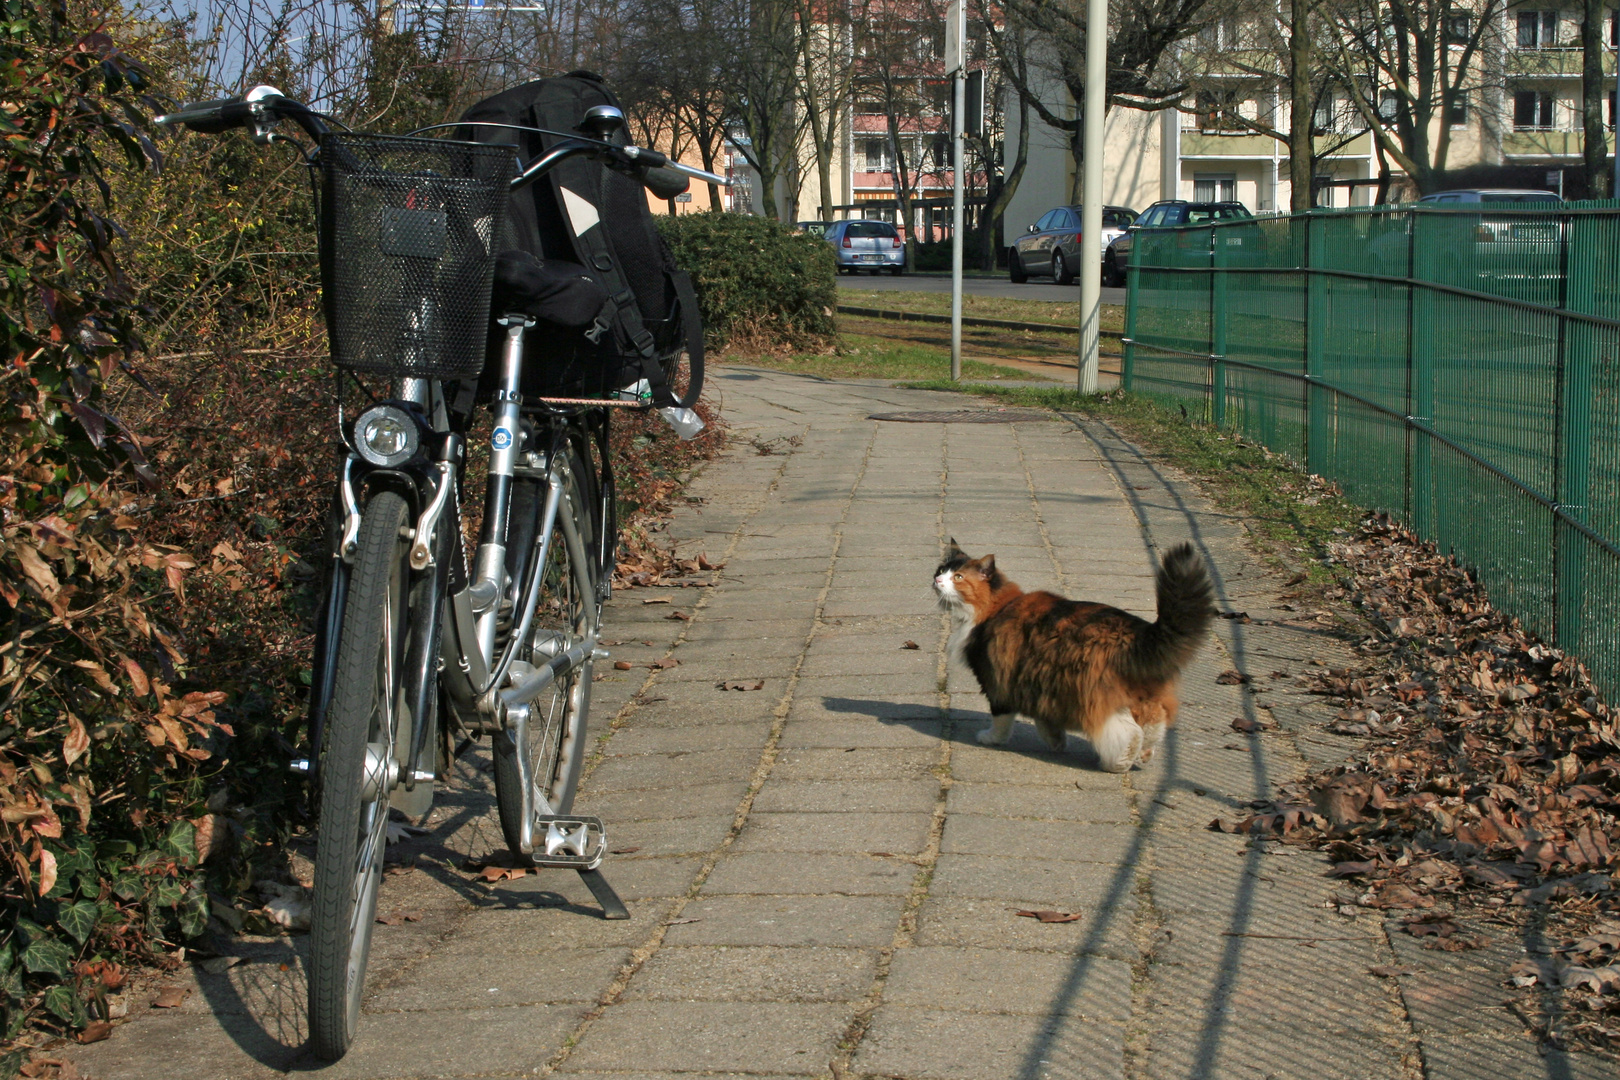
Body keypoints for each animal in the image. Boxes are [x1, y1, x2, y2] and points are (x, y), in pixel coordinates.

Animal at [939, 544, 1218, 773]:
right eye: (942, 569)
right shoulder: (1039, 681)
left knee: (1127, 732)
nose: (937, 580)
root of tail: (1137, 631)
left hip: (1093, 693)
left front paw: (991, 738)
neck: (994, 607)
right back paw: (1144, 753)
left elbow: (1001, 719)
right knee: (1153, 723)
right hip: (1142, 694)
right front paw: (1055, 741)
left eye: (958, 577)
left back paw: (1118, 763)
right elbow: (1046, 720)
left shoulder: (998, 681)